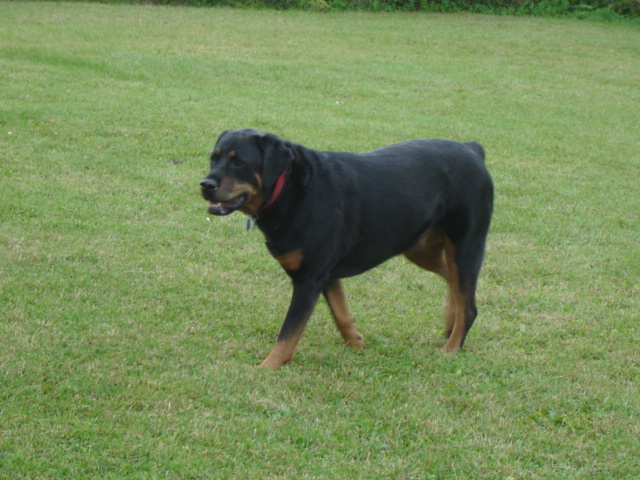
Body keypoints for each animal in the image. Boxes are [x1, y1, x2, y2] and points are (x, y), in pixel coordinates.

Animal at [200, 129, 494, 369]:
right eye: (214, 159)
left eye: (239, 162)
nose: (206, 184)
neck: (291, 192)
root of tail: (472, 150)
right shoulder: (326, 275)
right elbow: (340, 314)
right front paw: (356, 342)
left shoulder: (309, 279)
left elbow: (288, 332)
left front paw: (267, 367)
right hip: (421, 248)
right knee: (454, 282)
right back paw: (450, 322)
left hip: (466, 244)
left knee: (468, 303)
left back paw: (451, 347)